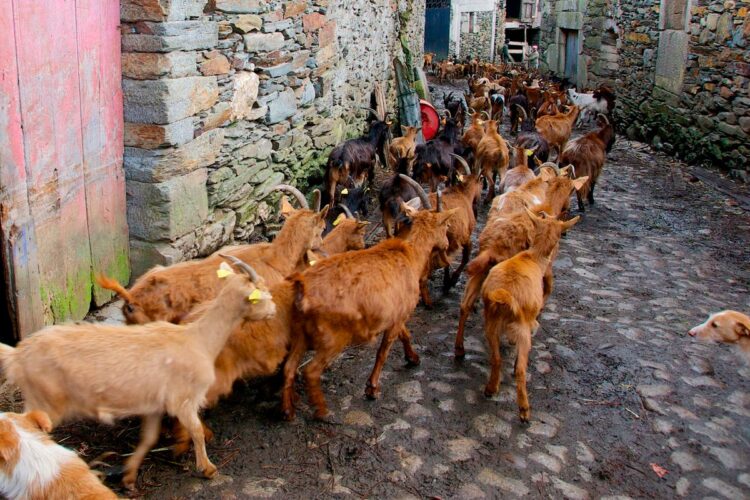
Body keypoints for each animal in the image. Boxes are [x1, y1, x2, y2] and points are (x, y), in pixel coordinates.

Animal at [0, 258, 275, 489]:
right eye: (260, 290)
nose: (274, 309)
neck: (198, 340)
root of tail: (19, 355)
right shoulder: (183, 400)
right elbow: (196, 430)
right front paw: (207, 468)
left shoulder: (153, 405)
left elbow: (149, 438)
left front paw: (130, 476)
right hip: (46, 400)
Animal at [280, 207, 458, 420]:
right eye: (447, 225)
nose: (448, 244)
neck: (411, 257)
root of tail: (302, 287)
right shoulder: (398, 315)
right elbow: (382, 352)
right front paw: (372, 388)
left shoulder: (396, 314)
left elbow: (405, 335)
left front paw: (413, 358)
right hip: (333, 337)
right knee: (311, 371)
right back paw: (322, 411)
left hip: (300, 332)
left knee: (289, 368)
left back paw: (288, 411)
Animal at [481, 211, 580, 421]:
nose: (543, 213)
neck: (533, 257)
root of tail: (505, 295)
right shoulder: (529, 323)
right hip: (522, 329)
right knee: (520, 370)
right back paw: (524, 409)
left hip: (491, 325)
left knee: (496, 358)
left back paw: (491, 388)